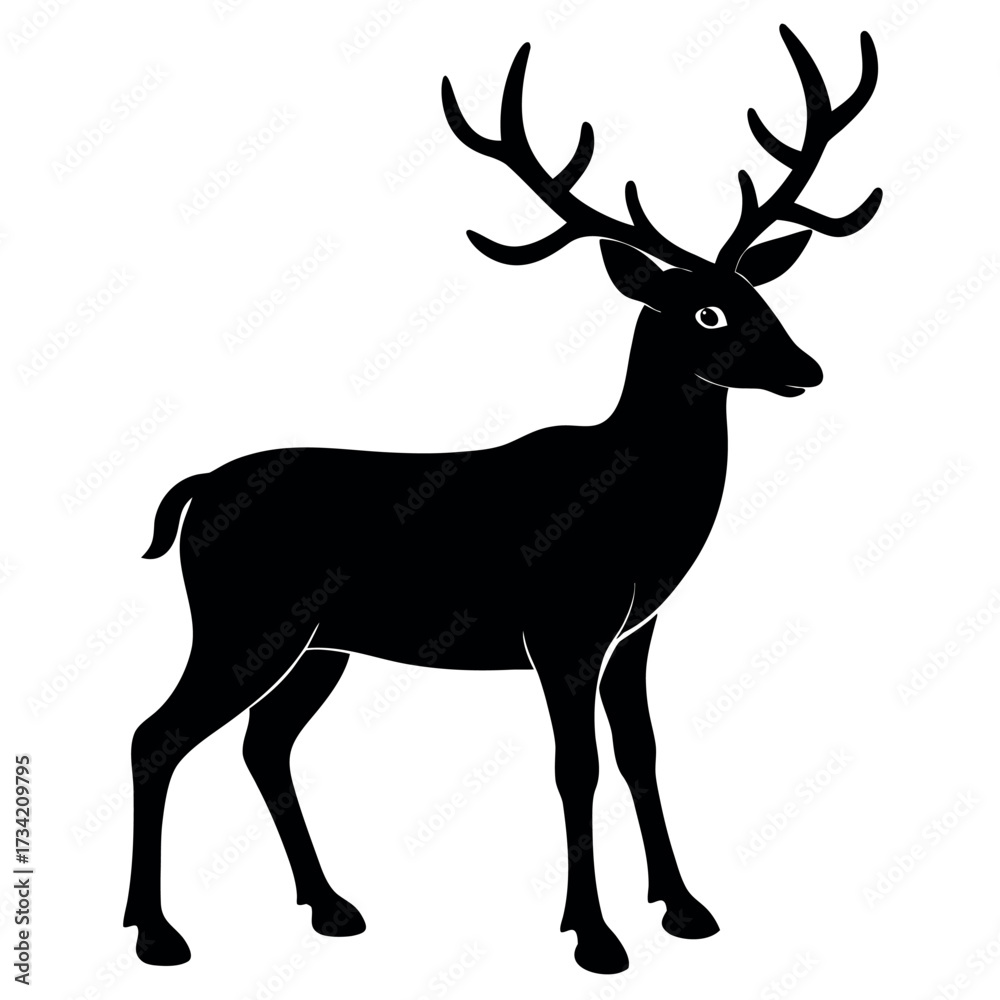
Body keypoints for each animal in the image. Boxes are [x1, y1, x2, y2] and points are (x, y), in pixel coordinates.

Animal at [124, 26, 880, 974]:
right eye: (706, 313)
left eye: (760, 293)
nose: (805, 368)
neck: (640, 512)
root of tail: (191, 495)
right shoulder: (563, 625)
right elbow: (575, 766)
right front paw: (594, 935)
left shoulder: (635, 630)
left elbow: (640, 752)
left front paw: (684, 907)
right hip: (241, 620)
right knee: (158, 734)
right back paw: (157, 932)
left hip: (319, 643)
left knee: (264, 744)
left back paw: (329, 906)